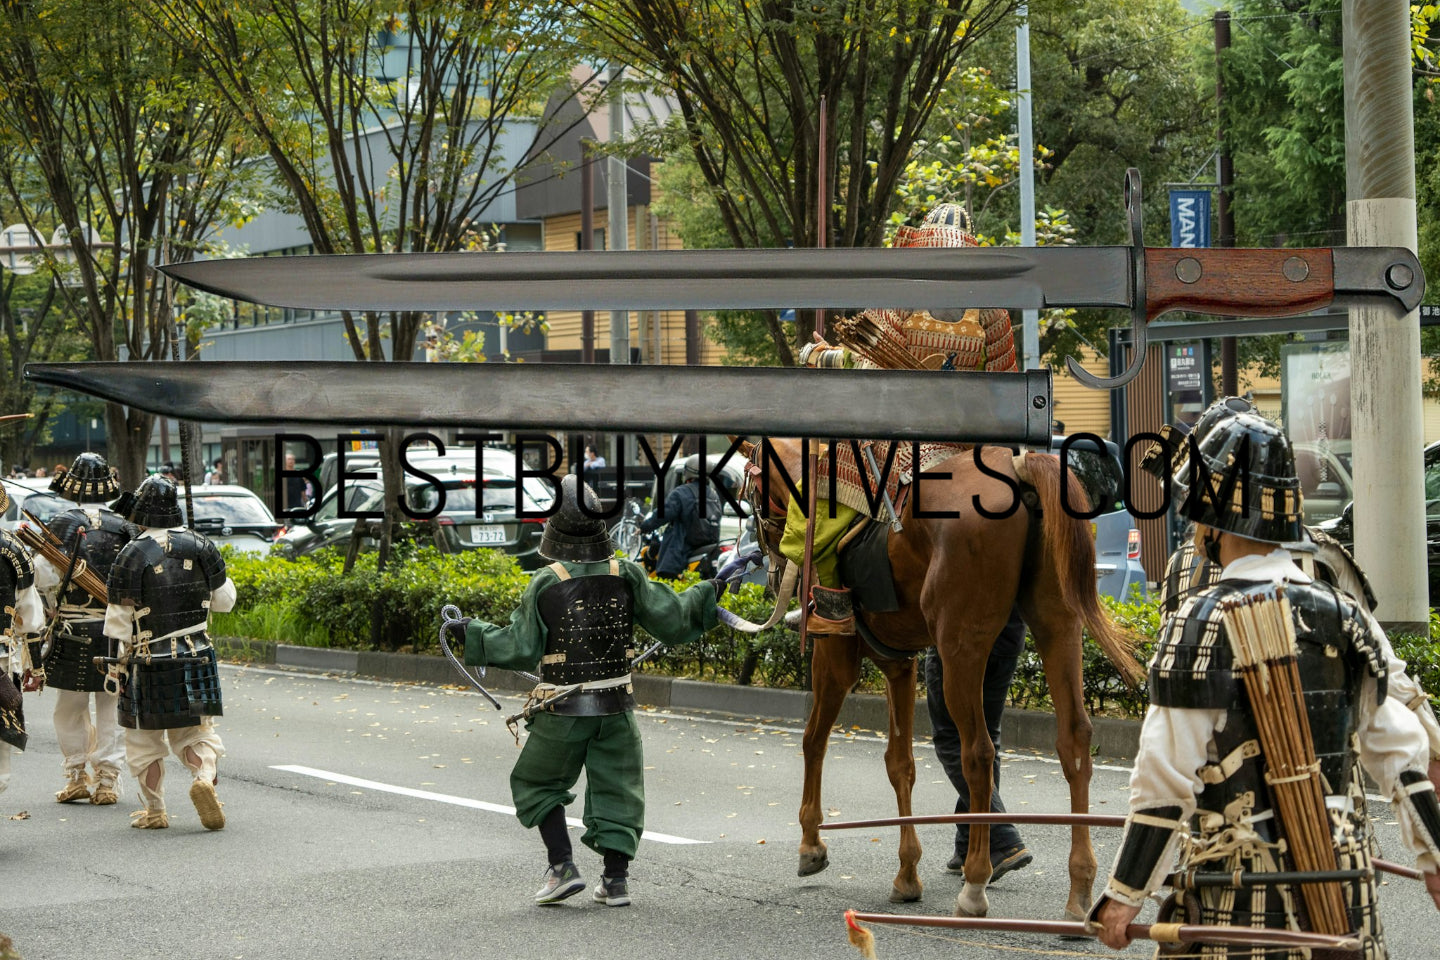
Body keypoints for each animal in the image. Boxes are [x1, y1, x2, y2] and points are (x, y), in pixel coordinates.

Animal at [737, 434, 1140, 915]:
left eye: (749, 492)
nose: (767, 559)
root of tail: (1019, 468)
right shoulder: (898, 662)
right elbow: (900, 764)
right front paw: (908, 873)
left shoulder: (835, 654)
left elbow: (814, 741)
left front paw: (811, 845)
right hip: (1057, 622)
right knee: (1074, 740)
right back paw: (1079, 887)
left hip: (961, 645)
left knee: (978, 753)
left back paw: (976, 881)